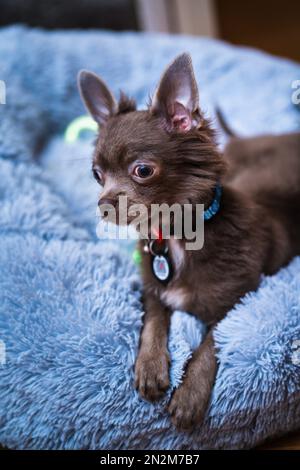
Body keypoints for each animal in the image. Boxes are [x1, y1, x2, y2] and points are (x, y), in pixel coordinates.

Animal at [78, 53, 300, 432]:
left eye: (142, 170)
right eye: (97, 175)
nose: (104, 204)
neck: (177, 236)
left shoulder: (237, 300)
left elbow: (211, 344)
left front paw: (189, 395)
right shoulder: (153, 288)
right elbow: (153, 321)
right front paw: (150, 366)